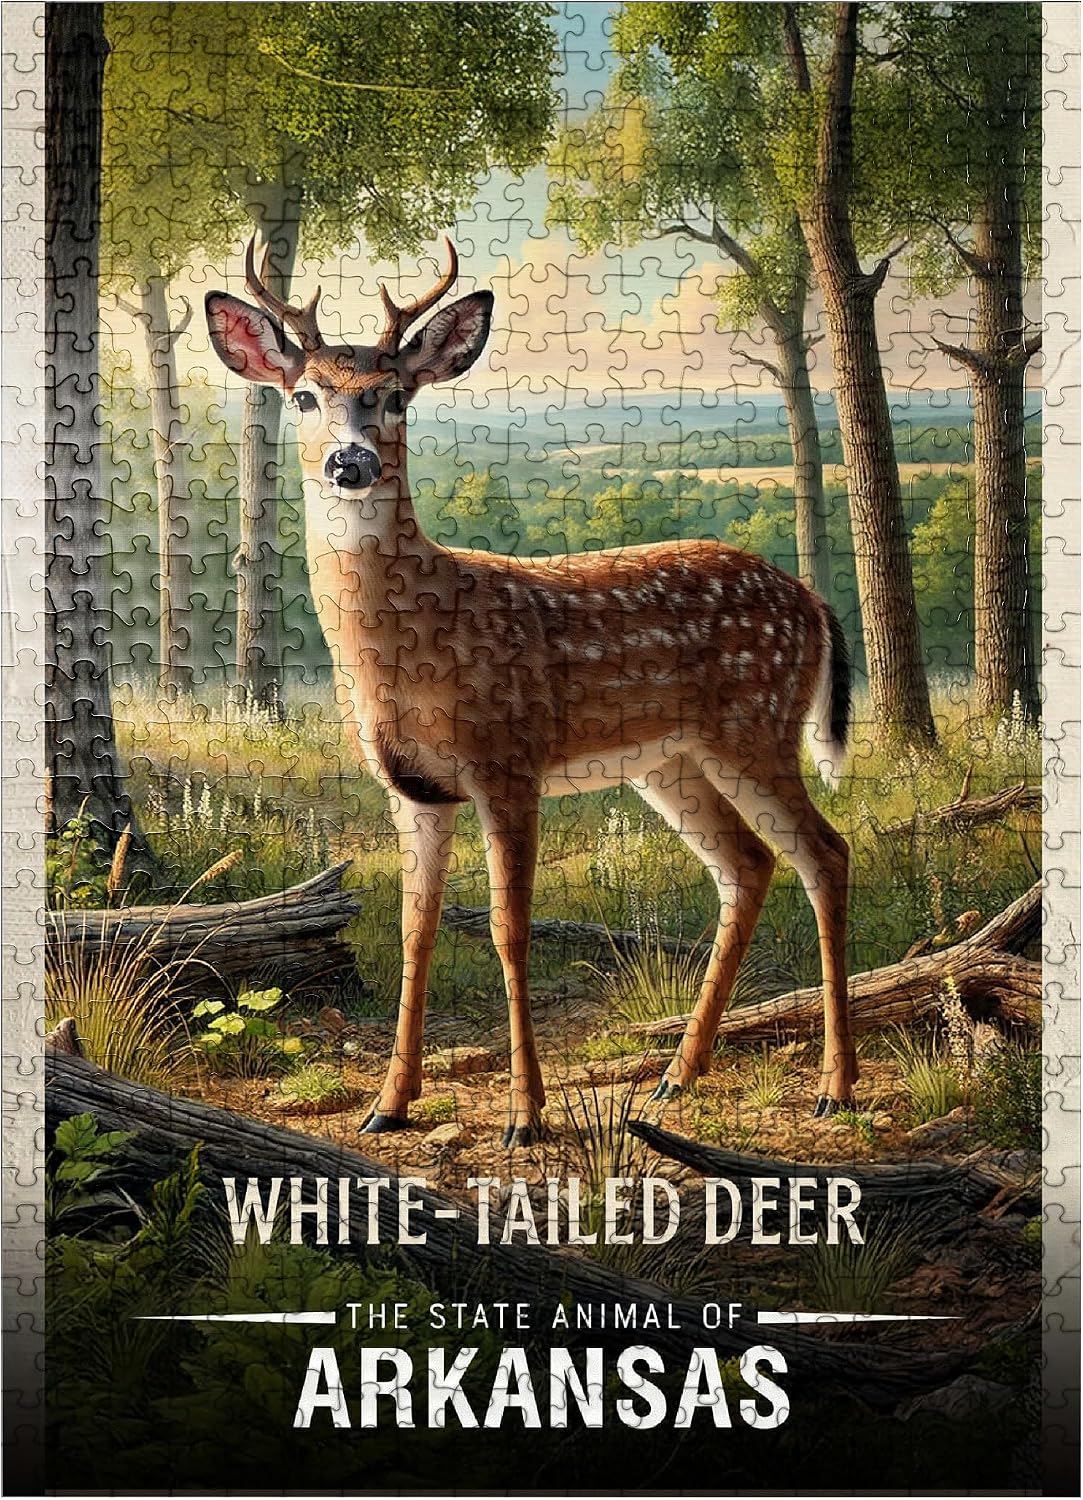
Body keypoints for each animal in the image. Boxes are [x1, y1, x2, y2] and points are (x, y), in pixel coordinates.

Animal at [205, 239, 857, 1147]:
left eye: (392, 396)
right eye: (303, 395)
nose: (350, 462)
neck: (408, 652)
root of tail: (811, 601)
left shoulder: (507, 762)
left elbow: (508, 931)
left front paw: (526, 1114)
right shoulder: (413, 788)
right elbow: (413, 931)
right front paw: (387, 1104)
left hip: (754, 727)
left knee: (824, 853)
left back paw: (835, 1085)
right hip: (671, 762)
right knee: (748, 865)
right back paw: (676, 1075)